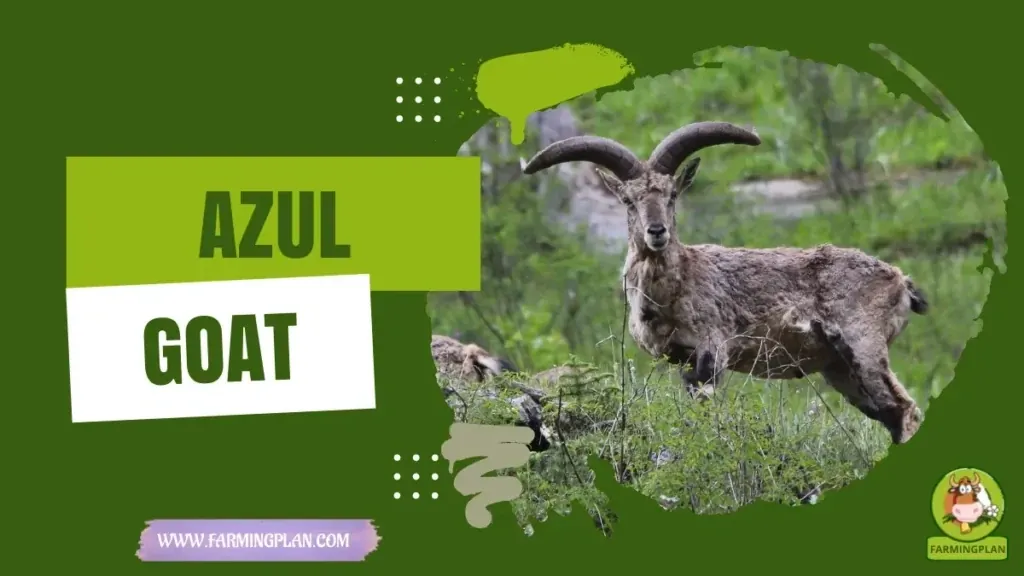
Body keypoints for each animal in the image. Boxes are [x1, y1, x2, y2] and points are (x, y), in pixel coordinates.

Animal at [522, 121, 928, 445]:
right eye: (628, 200)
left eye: (672, 195)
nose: (657, 231)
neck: (677, 285)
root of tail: (900, 281)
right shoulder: (683, 362)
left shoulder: (711, 351)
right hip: (841, 368)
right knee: (891, 414)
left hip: (864, 346)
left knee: (906, 409)